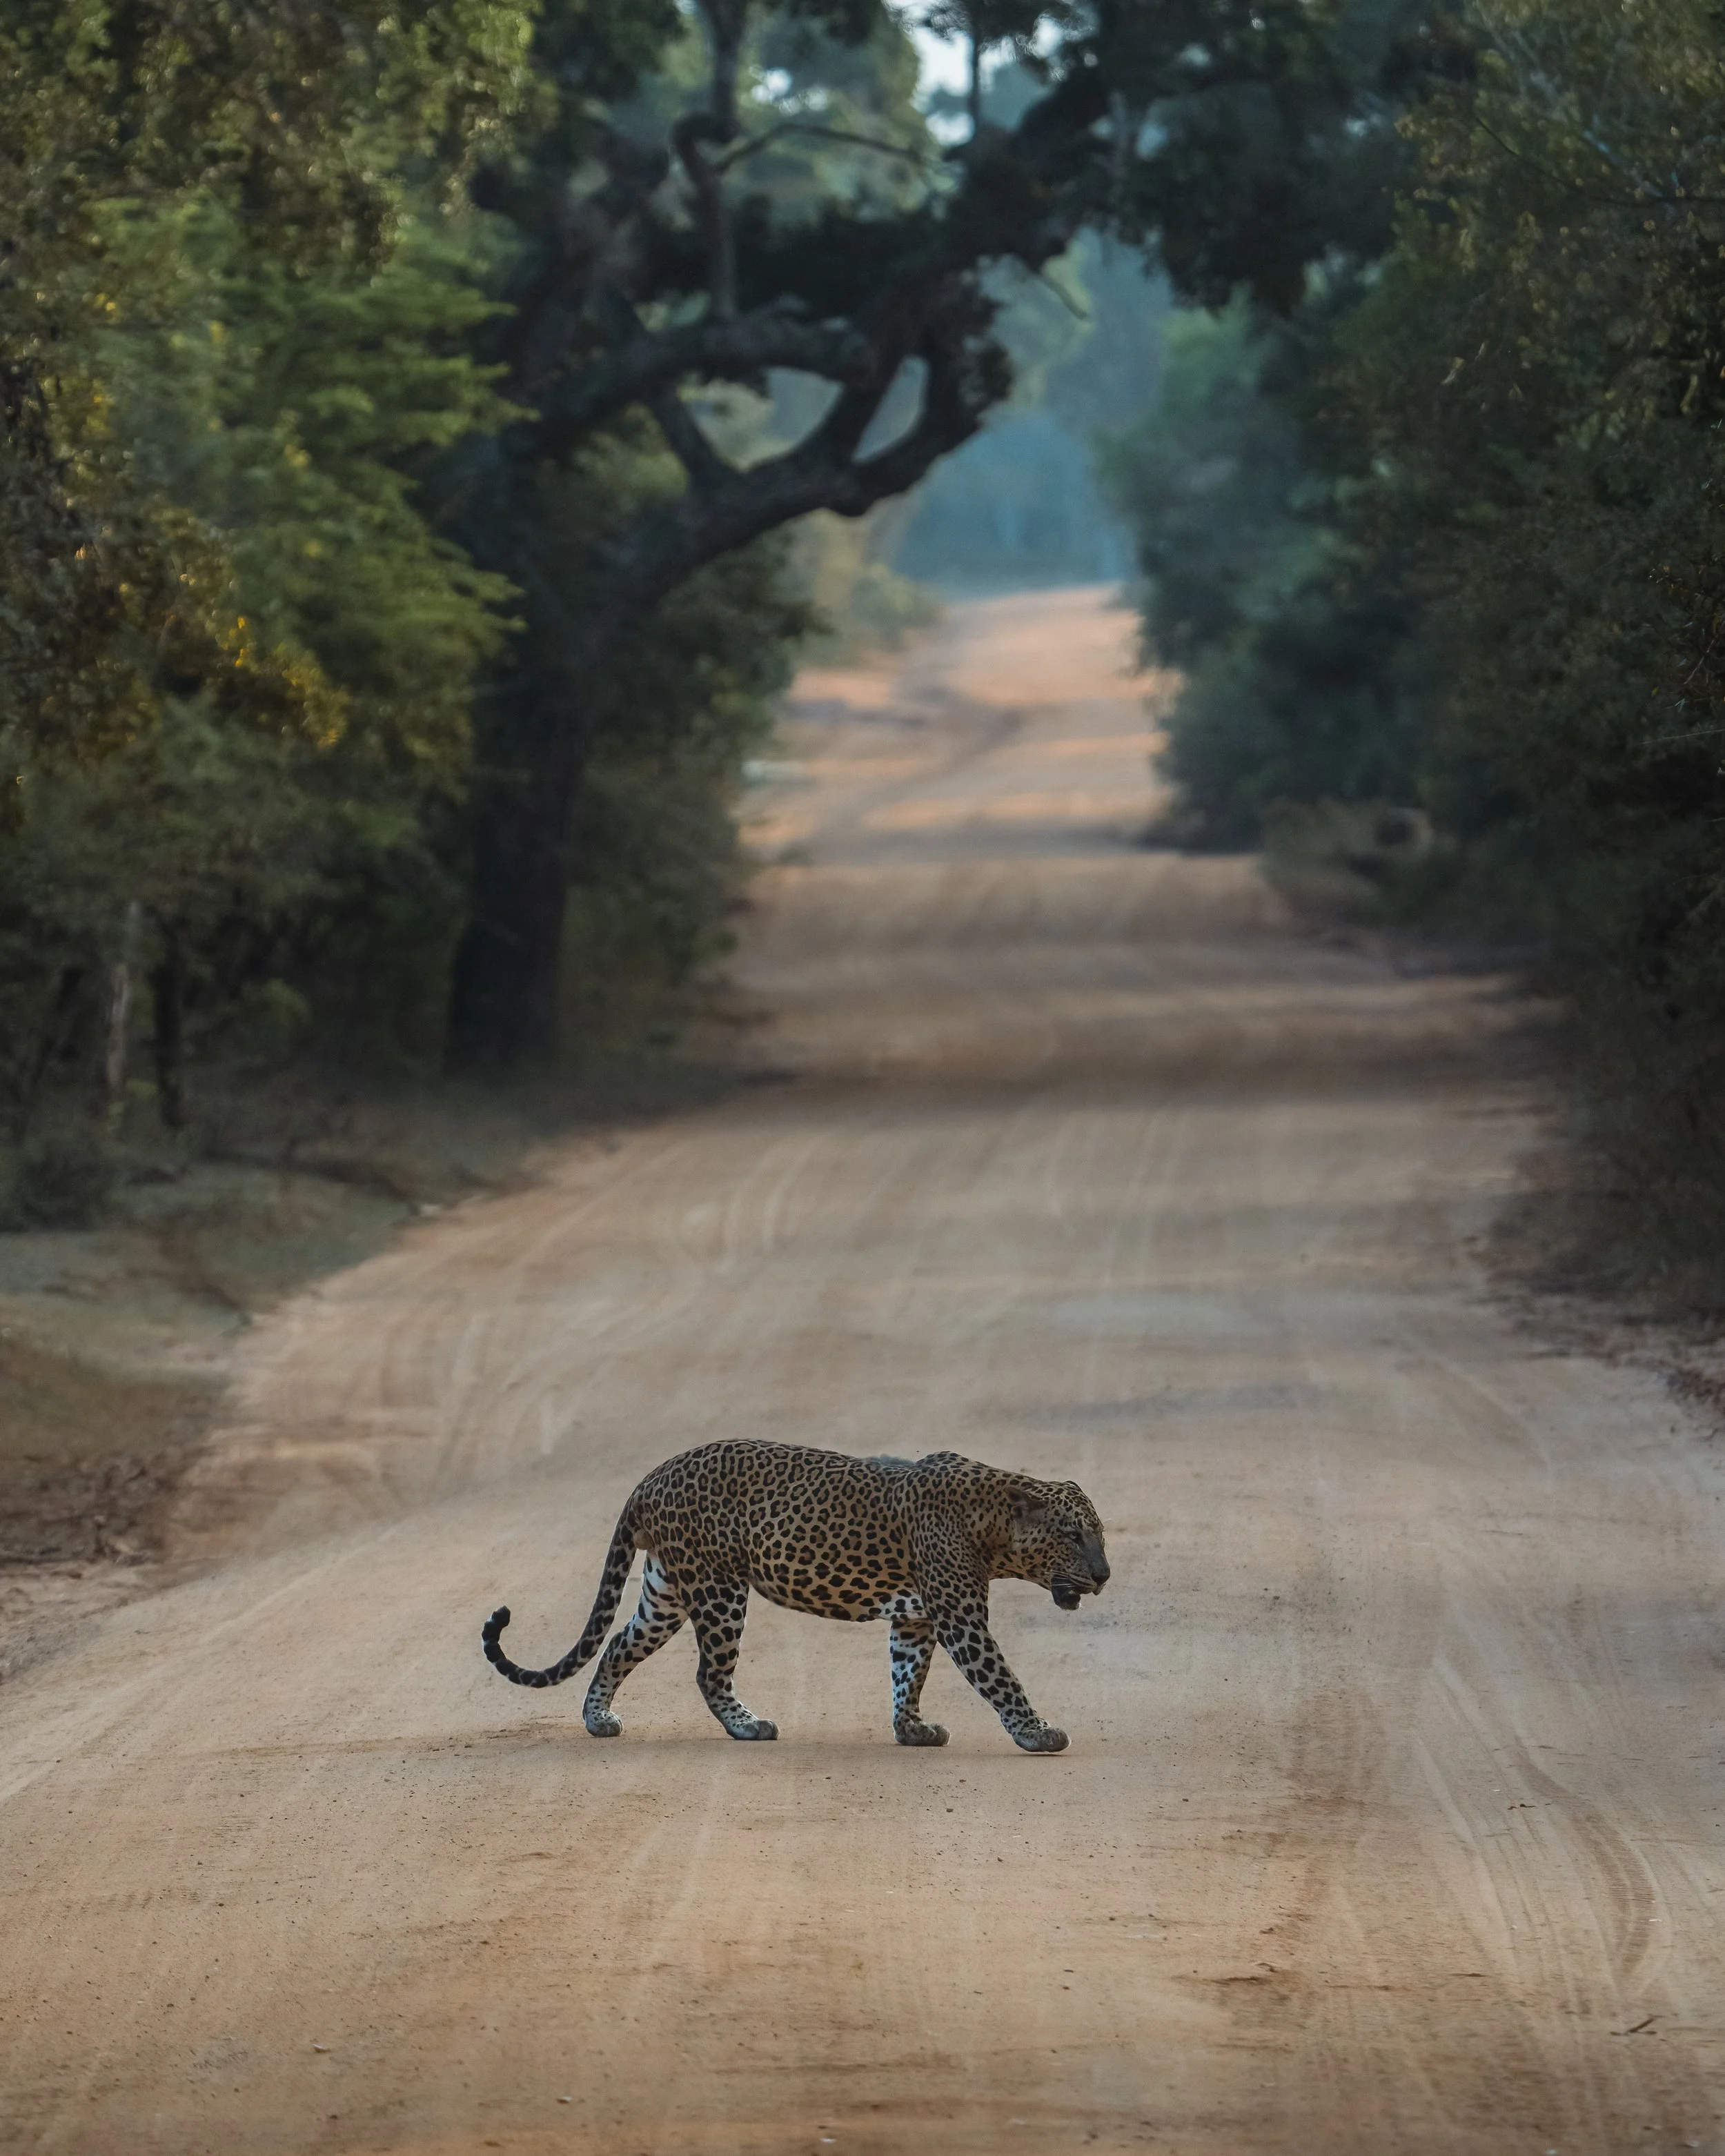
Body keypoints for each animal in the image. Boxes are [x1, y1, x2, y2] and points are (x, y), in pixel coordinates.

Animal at [481, 1440, 1109, 1752]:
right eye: (1073, 1535)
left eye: (1098, 1534)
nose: (1104, 1575)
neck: (995, 1521)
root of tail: (650, 1478)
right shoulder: (961, 1619)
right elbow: (1001, 1677)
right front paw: (1036, 1732)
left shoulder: (917, 1618)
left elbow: (909, 1674)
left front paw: (911, 1730)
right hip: (720, 1588)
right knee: (710, 1673)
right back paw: (748, 1726)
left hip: (666, 1590)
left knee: (616, 1645)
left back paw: (598, 1718)